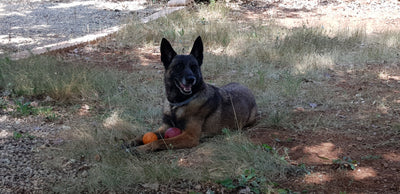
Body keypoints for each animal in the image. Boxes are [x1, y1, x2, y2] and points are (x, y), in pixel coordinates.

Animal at [130, 36, 258, 152]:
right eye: (178, 67)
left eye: (194, 67)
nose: (191, 79)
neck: (178, 104)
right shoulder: (165, 127)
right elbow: (145, 135)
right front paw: (133, 141)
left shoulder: (190, 137)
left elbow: (160, 141)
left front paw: (141, 148)